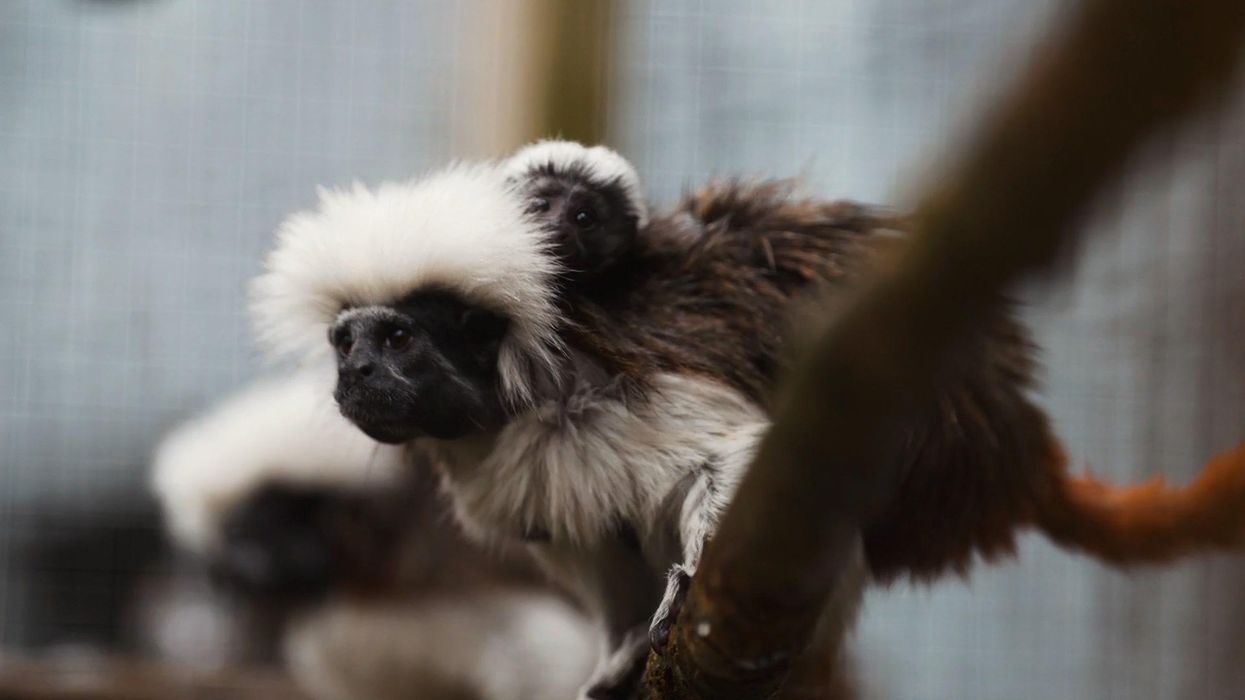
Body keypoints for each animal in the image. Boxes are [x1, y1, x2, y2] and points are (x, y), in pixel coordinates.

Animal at [248, 141, 1245, 699]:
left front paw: (685, 582)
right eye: (346, 342)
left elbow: (734, 454)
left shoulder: (608, 393)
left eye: (400, 339)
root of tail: (1012, 446)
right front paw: (618, 652)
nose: (357, 373)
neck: (504, 401)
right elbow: (596, 552)